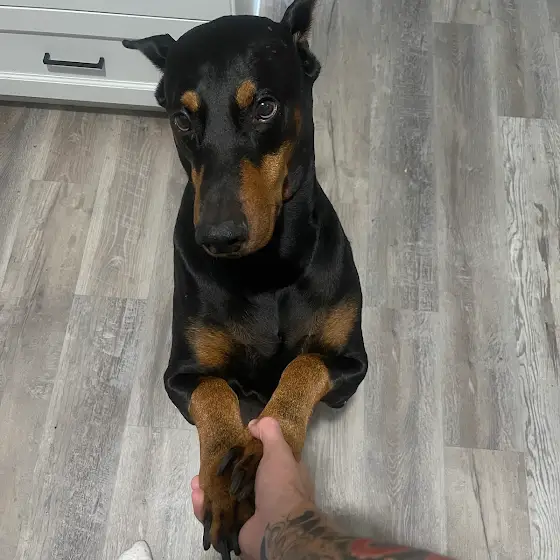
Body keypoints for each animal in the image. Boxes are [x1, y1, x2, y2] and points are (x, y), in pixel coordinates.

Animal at [123, 1, 367, 557]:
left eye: (265, 107)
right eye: (181, 117)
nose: (217, 236)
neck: (265, 269)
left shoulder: (351, 363)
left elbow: (302, 368)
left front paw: (260, 454)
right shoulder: (181, 376)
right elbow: (214, 393)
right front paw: (224, 482)